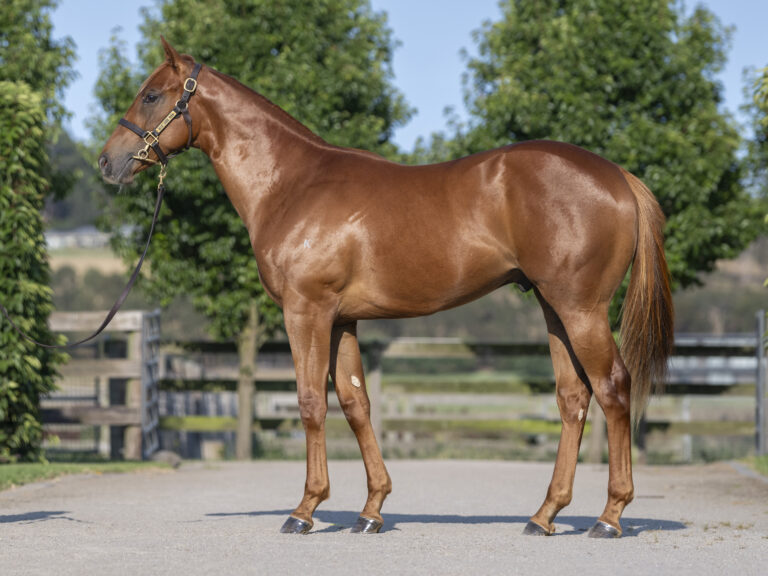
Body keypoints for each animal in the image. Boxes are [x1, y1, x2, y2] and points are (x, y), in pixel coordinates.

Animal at [97, 39, 672, 536]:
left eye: (151, 95)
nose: (107, 162)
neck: (292, 184)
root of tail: (618, 177)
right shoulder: (343, 320)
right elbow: (356, 404)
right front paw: (371, 510)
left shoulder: (307, 312)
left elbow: (311, 401)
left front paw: (305, 510)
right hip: (554, 310)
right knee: (574, 398)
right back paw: (545, 514)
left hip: (581, 309)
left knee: (613, 388)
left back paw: (609, 516)